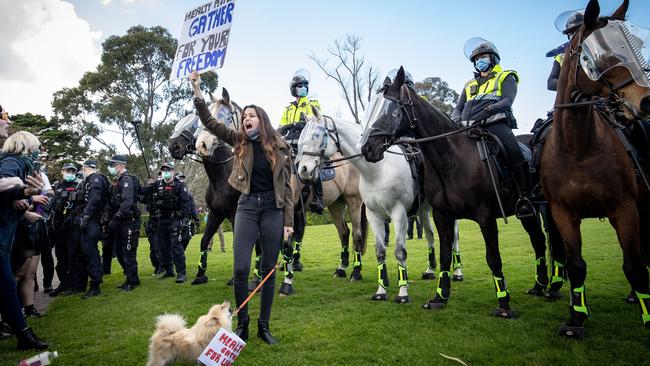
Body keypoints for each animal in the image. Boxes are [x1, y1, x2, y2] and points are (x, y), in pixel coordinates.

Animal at [294, 108, 460, 304]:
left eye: (317, 135)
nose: (303, 169)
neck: (379, 169)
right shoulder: (374, 215)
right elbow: (380, 252)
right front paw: (381, 291)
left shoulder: (398, 214)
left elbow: (399, 252)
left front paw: (403, 293)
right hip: (424, 211)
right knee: (430, 235)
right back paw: (429, 270)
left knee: (454, 237)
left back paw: (458, 272)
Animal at [356, 67, 556, 318]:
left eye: (392, 111)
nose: (368, 149)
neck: (451, 159)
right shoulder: (442, 215)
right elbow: (443, 255)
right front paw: (439, 297)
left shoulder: (485, 217)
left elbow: (493, 258)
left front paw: (503, 304)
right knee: (538, 241)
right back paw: (539, 286)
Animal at [536, 0, 648, 338]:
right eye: (600, 58)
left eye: (637, 46)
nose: (646, 101)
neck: (578, 148)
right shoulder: (562, 212)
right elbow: (576, 265)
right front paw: (576, 319)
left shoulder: (624, 207)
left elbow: (635, 265)